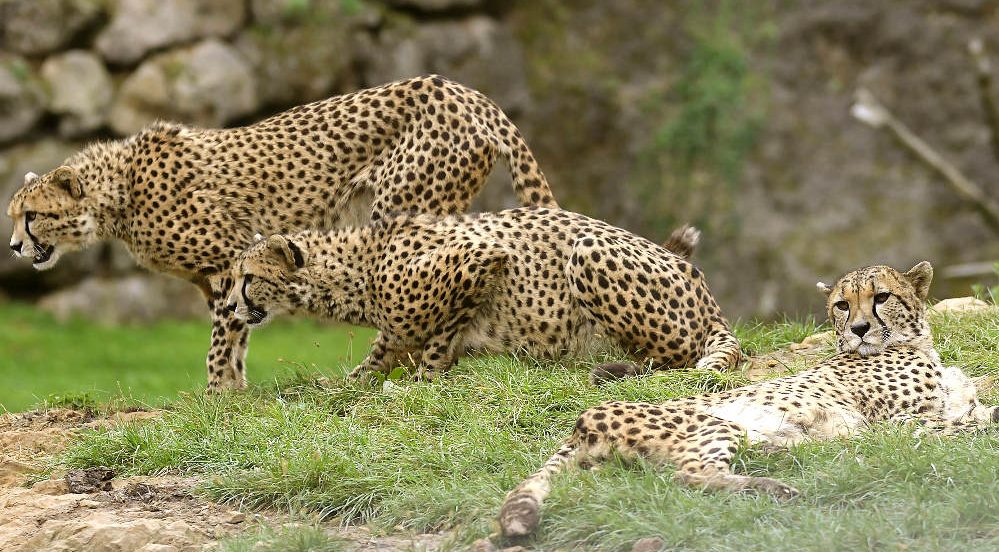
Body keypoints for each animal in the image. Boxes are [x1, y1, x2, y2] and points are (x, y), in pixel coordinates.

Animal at [3, 74, 560, 392]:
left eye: (30, 215)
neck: (119, 193)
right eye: (14, 216)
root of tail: (467, 93)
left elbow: (223, 337)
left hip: (403, 201)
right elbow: (236, 332)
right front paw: (235, 393)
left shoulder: (226, 261)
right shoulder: (218, 278)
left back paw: (367, 378)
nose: (12, 245)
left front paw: (214, 399)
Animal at [225, 205, 744, 382]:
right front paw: (348, 383)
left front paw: (428, 378)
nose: (229, 306)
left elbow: (439, 334)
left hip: (588, 250)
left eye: (247, 278)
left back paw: (615, 368)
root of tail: (700, 283)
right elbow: (381, 351)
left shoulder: (484, 256)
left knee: (678, 354)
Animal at [500, 260, 999, 536]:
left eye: (881, 297)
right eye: (842, 305)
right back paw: (773, 488)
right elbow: (966, 421)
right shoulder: (899, 422)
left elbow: (977, 408)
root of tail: (584, 419)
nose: (859, 329)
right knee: (688, 476)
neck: (915, 343)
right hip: (719, 423)